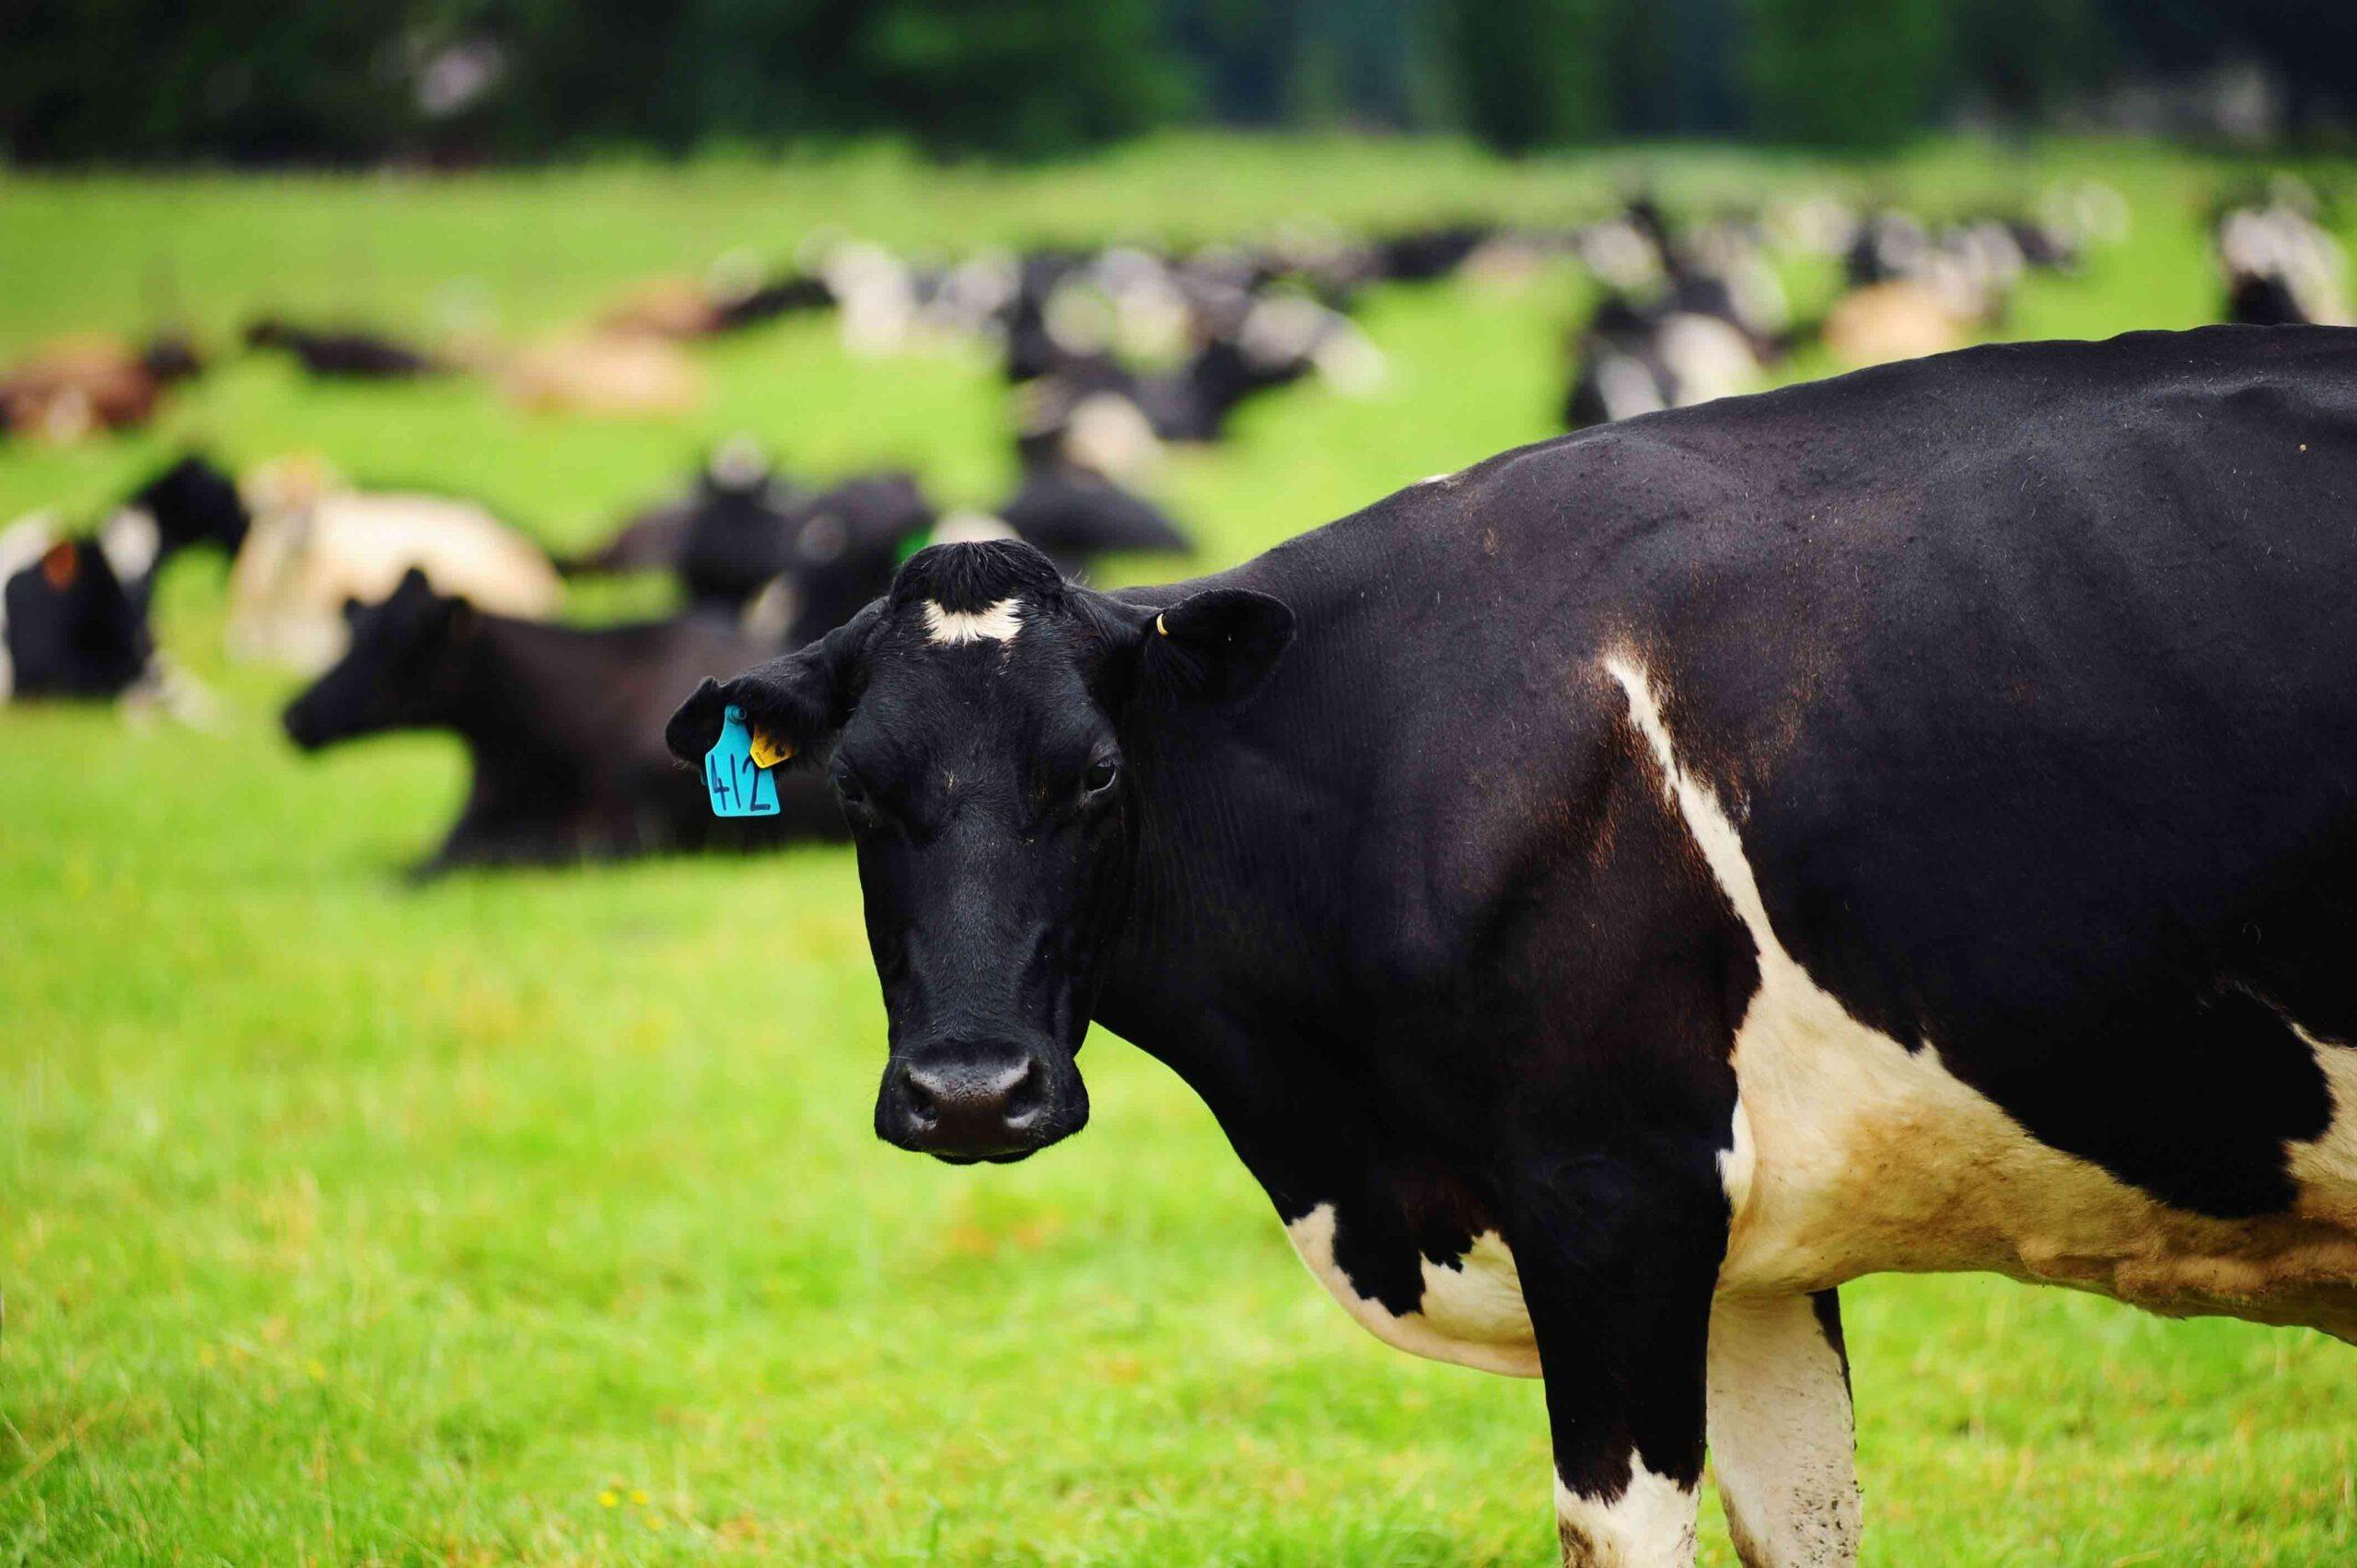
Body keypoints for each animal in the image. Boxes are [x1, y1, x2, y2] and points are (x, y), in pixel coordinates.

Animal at [284, 569, 835, 872]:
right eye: (354, 632)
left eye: (397, 644)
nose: (293, 715)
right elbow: (426, 858)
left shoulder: (630, 832)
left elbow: (491, 855)